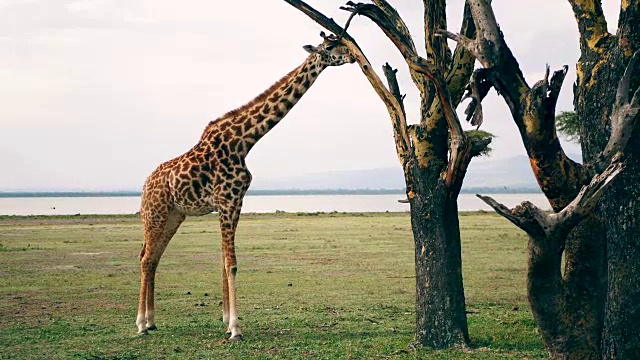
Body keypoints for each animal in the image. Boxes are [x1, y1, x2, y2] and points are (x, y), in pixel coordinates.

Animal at [136, 33, 356, 340]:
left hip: (173, 215)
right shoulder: (227, 200)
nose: (353, 56)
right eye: (330, 46)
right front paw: (235, 328)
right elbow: (232, 263)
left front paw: (226, 319)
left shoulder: (236, 201)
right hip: (155, 212)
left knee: (152, 257)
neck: (245, 141)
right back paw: (141, 324)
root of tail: (145, 184)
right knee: (146, 259)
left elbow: (223, 262)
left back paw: (152, 321)